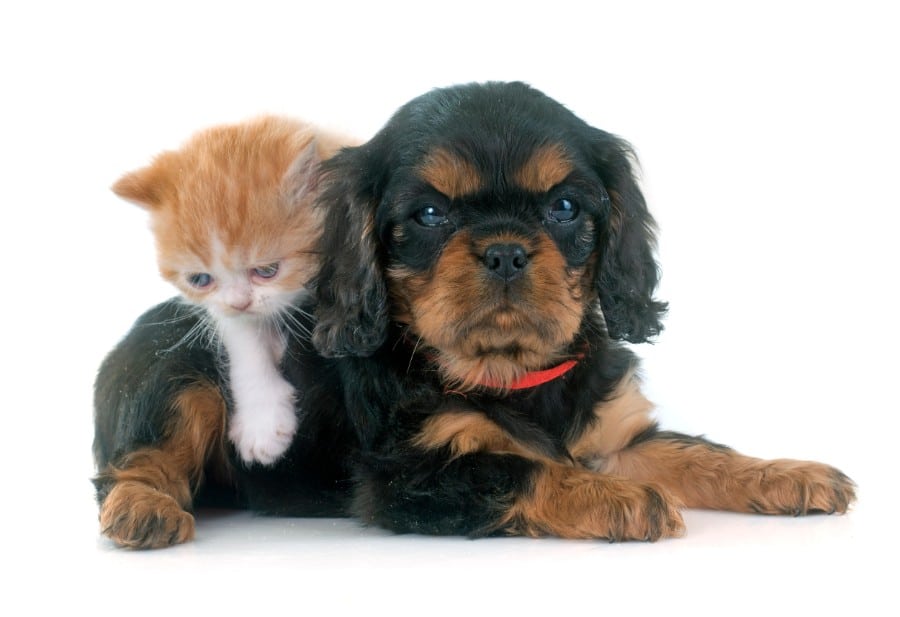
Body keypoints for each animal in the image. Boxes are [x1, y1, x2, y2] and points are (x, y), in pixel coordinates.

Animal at [111, 114, 348, 462]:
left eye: (266, 271)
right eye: (200, 279)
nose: (240, 302)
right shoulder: (222, 309)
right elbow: (243, 336)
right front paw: (262, 423)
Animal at [312, 82, 856, 540]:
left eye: (565, 208)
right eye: (428, 214)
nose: (505, 252)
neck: (514, 373)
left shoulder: (617, 442)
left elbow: (692, 450)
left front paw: (787, 474)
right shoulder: (406, 476)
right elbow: (518, 470)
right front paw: (622, 498)